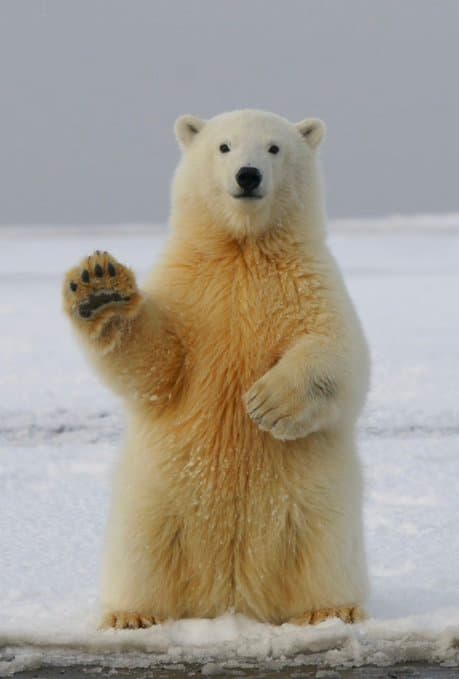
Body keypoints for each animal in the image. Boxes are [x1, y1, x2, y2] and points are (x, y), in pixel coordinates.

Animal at [62, 109, 370, 630]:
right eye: (224, 146)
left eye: (274, 148)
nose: (248, 176)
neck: (242, 249)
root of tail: (231, 597)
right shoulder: (191, 289)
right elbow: (158, 365)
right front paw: (100, 288)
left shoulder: (309, 282)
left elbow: (339, 352)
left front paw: (267, 403)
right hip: (155, 500)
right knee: (141, 552)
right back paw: (131, 615)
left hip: (316, 503)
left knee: (322, 549)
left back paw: (331, 609)